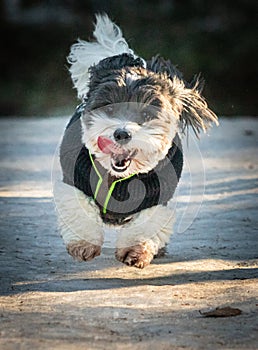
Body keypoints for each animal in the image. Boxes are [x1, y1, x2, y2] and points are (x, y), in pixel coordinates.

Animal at [54, 14, 218, 268]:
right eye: (109, 109)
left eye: (146, 115)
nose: (122, 133)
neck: (118, 178)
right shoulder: (75, 180)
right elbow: (80, 212)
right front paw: (83, 245)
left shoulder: (157, 196)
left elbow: (146, 225)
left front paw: (136, 250)